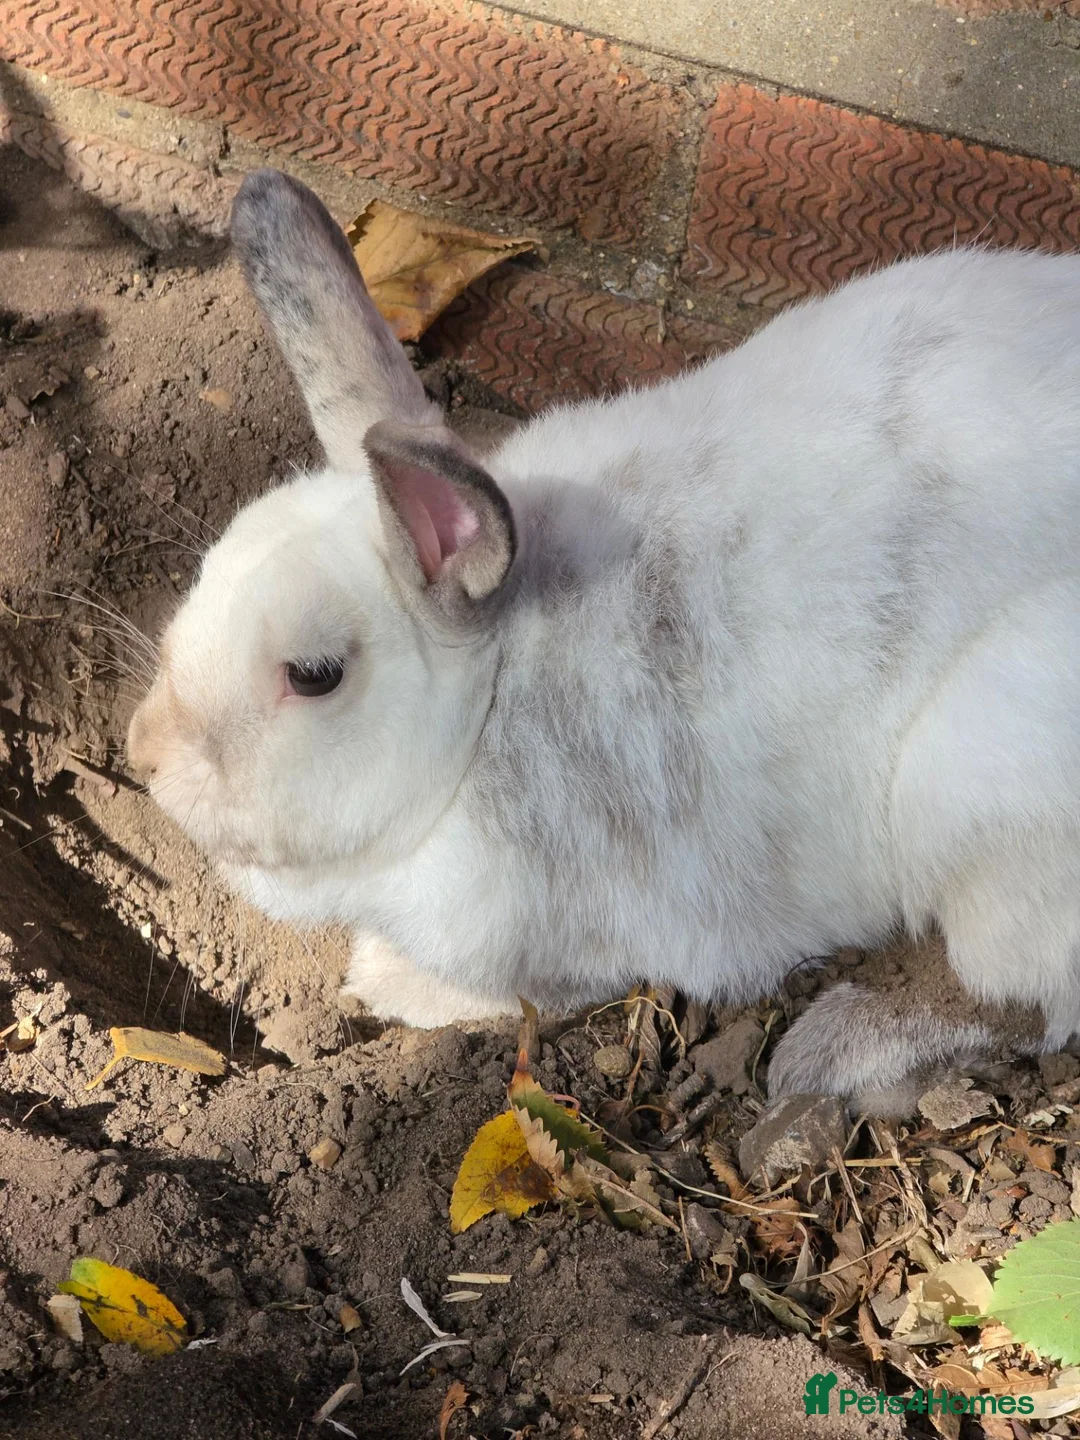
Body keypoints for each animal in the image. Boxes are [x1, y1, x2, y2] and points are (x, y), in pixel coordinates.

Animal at [127, 167, 1080, 1108]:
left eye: (315, 674)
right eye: (208, 568)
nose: (144, 754)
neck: (491, 699)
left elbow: (517, 994)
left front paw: (382, 982)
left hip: (987, 805)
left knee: (1020, 1003)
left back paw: (829, 1053)